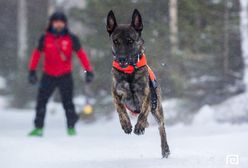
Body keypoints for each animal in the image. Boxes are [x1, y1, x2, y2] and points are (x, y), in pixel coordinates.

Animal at [106, 8, 170, 159]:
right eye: (116, 41)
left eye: (130, 41)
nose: (121, 59)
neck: (129, 71)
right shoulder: (115, 93)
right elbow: (120, 109)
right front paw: (126, 124)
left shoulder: (147, 94)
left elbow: (144, 110)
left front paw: (139, 126)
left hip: (157, 109)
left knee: (161, 127)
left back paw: (165, 149)